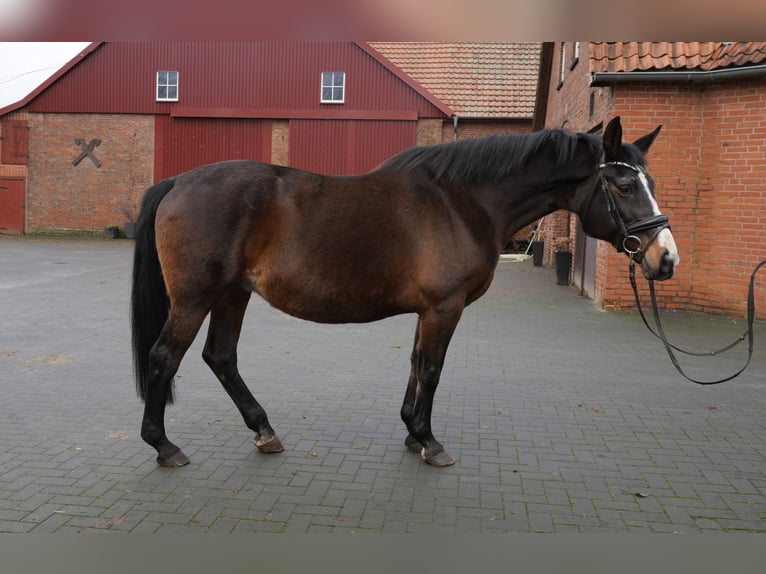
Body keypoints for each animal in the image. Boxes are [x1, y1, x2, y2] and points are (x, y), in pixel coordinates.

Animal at [134, 116, 684, 468]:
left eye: (652, 184)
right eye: (624, 187)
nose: (666, 259)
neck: (462, 202)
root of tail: (178, 180)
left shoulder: (428, 311)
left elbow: (417, 364)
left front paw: (409, 433)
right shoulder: (445, 308)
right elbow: (433, 370)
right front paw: (429, 441)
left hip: (233, 294)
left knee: (220, 357)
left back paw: (263, 431)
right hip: (196, 299)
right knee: (164, 357)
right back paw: (163, 446)